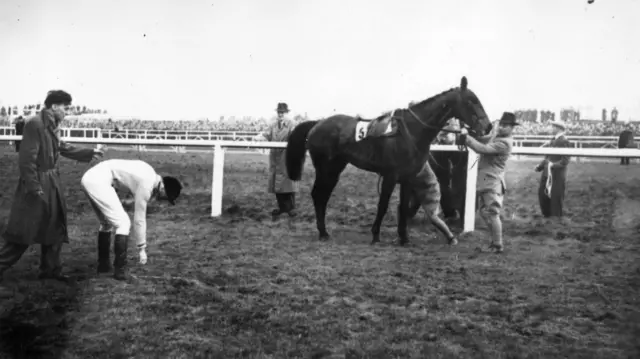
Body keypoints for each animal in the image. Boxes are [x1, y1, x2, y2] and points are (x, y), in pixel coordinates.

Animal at [284, 75, 490, 245]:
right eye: (471, 101)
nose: (487, 127)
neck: (411, 131)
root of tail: (317, 124)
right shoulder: (391, 176)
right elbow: (383, 205)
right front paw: (375, 235)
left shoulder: (408, 177)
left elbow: (403, 206)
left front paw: (404, 237)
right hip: (326, 169)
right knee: (318, 195)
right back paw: (323, 232)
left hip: (335, 168)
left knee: (322, 196)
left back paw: (324, 231)